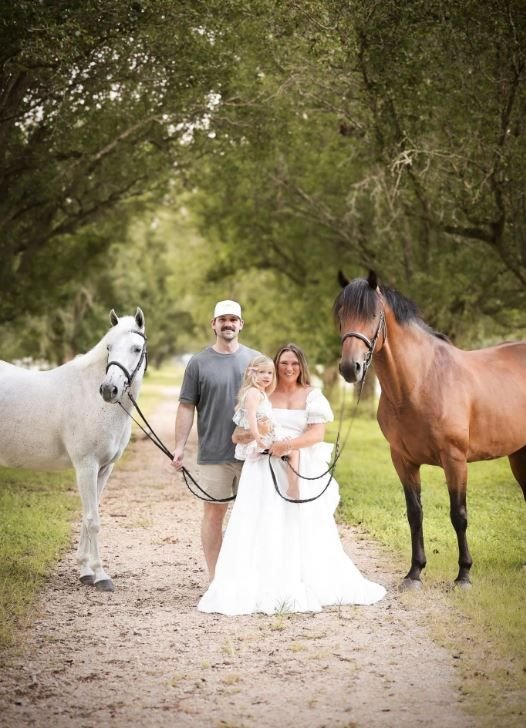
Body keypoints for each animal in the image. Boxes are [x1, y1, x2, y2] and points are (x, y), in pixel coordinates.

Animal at [0, 308, 147, 592]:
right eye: (109, 347)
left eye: (136, 349)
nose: (108, 390)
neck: (93, 400)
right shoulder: (86, 466)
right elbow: (93, 520)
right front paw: (101, 576)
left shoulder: (104, 469)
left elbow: (88, 515)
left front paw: (85, 571)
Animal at [333, 270, 526, 589]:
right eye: (340, 315)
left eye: (372, 314)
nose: (351, 368)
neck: (420, 381)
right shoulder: (403, 460)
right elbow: (414, 513)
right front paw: (414, 572)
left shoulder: (455, 459)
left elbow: (458, 515)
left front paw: (464, 575)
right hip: (518, 455)